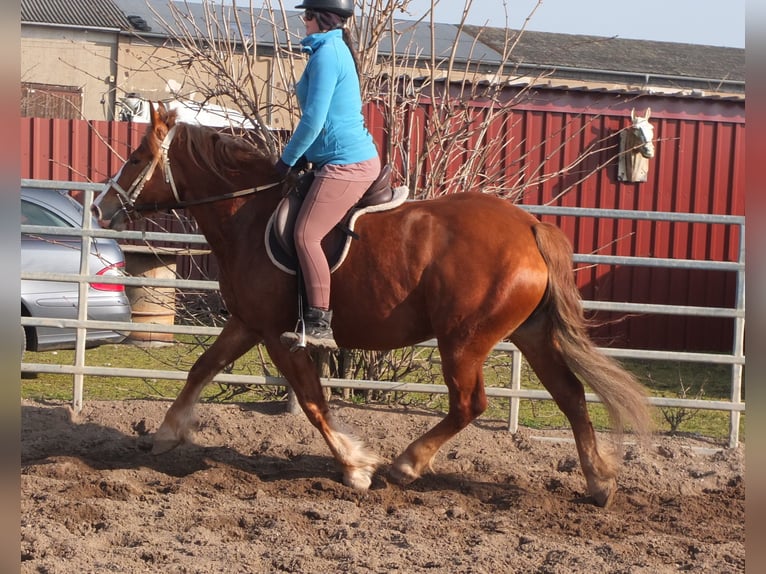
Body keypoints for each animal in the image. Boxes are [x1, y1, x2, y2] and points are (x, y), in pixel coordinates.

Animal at [93, 103, 652, 508]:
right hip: (528, 333)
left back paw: (406, 465)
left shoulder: (278, 335)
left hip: (464, 340)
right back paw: (599, 484)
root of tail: (530, 226)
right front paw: (166, 433)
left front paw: (356, 466)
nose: (102, 207)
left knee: (470, 404)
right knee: (570, 395)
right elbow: (202, 367)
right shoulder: (248, 323)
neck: (247, 215)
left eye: (137, 157)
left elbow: (313, 402)